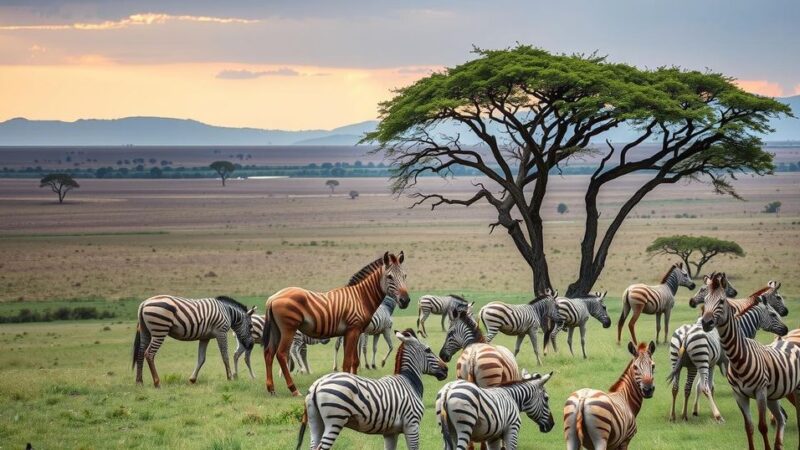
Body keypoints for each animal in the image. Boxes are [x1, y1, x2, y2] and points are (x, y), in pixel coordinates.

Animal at [262, 251, 410, 396]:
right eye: (389, 277)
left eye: (405, 275)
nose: (405, 301)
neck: (360, 298)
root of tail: (273, 297)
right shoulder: (353, 330)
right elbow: (347, 362)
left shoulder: (355, 331)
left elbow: (355, 361)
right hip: (288, 329)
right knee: (281, 354)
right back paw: (293, 389)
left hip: (276, 330)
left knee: (269, 353)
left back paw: (271, 389)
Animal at [296, 326, 446, 450]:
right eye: (428, 350)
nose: (446, 369)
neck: (409, 381)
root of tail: (318, 383)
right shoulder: (412, 425)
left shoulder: (390, 432)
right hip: (335, 420)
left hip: (315, 421)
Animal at [664, 296, 792, 422]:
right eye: (773, 314)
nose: (786, 329)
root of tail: (686, 334)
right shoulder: (728, 363)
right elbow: (707, 386)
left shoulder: (712, 363)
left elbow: (703, 386)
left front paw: (695, 411)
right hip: (700, 360)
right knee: (702, 387)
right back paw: (717, 415)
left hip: (677, 360)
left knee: (676, 387)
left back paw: (674, 415)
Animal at [700, 270, 800, 450]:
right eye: (705, 300)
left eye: (721, 301)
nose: (706, 322)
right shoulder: (740, 395)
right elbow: (750, 426)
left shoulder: (761, 392)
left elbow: (762, 426)